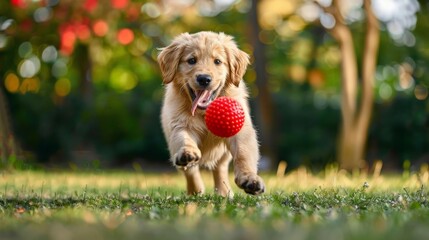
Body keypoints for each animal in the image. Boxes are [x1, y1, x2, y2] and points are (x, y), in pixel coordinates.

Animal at [157, 31, 264, 197]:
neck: (204, 113)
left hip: (223, 154)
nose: (204, 79)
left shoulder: (241, 130)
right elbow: (184, 138)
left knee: (220, 168)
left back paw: (224, 192)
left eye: (218, 61)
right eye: (192, 60)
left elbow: (243, 153)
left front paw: (250, 178)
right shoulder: (179, 123)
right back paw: (195, 190)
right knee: (190, 171)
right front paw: (188, 151)